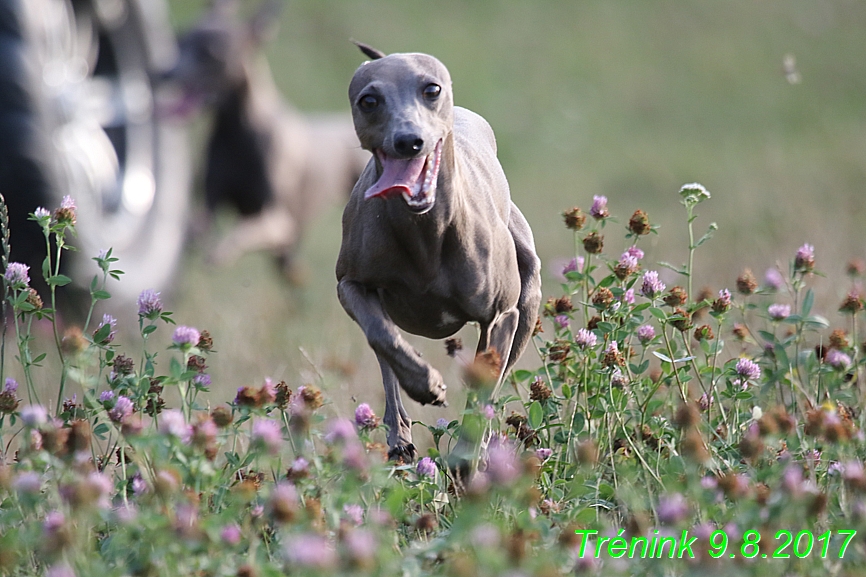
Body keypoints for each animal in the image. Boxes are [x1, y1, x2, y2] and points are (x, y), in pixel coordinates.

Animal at [164, 0, 366, 280]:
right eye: (179, 40)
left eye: (213, 54)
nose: (164, 73)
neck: (238, 133)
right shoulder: (210, 200)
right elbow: (198, 222)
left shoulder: (276, 221)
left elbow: (243, 230)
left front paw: (220, 250)